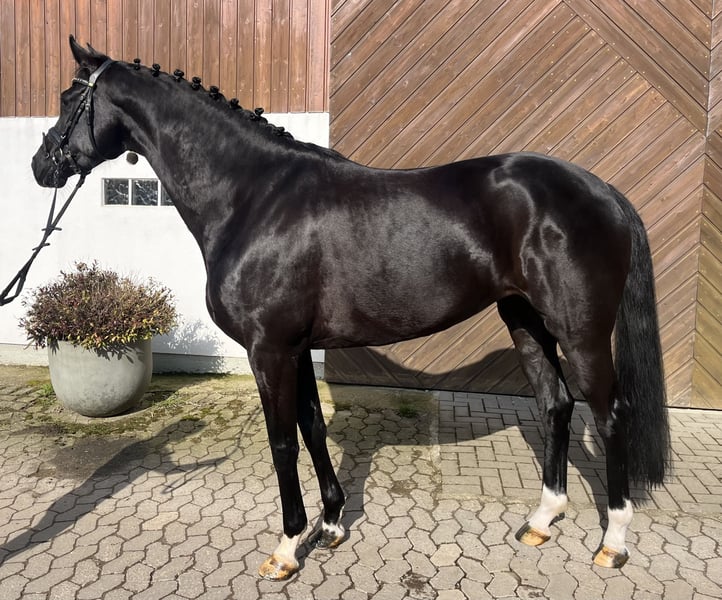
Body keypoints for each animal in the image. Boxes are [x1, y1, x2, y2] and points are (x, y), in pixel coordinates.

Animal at [32, 37, 670, 580]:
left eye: (67, 99)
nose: (42, 166)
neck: (253, 195)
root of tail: (602, 190)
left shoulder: (269, 349)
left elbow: (283, 442)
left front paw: (288, 547)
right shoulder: (296, 347)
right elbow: (312, 428)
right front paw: (332, 523)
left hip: (581, 332)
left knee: (610, 415)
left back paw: (612, 542)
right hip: (525, 320)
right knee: (556, 405)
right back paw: (541, 520)